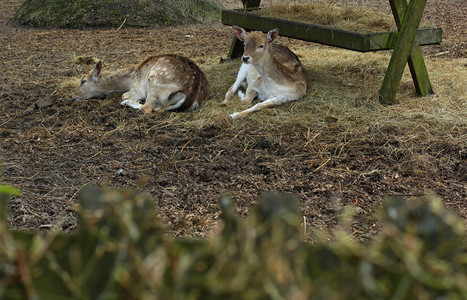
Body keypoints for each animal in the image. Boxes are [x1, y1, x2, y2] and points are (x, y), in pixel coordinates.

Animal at [72, 54, 209, 113]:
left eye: (83, 81)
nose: (73, 96)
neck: (129, 79)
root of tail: (191, 96)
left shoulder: (138, 88)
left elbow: (124, 94)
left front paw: (130, 99)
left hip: (155, 81)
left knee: (147, 108)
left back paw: (128, 103)